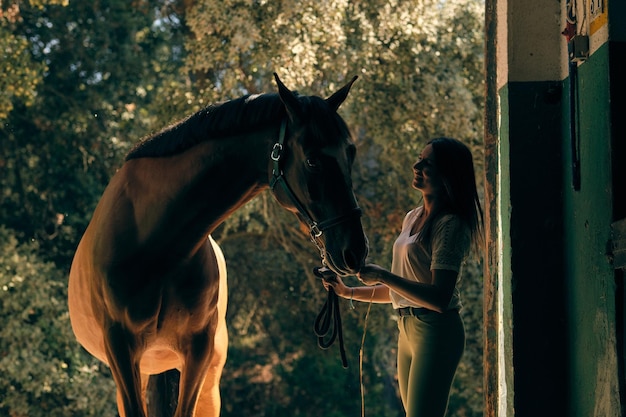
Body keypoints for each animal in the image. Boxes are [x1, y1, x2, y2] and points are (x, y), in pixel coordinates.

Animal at [67, 73, 370, 414]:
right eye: (312, 160)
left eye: (350, 153)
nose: (355, 251)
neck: (157, 243)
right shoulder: (122, 349)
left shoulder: (198, 350)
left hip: (206, 379)